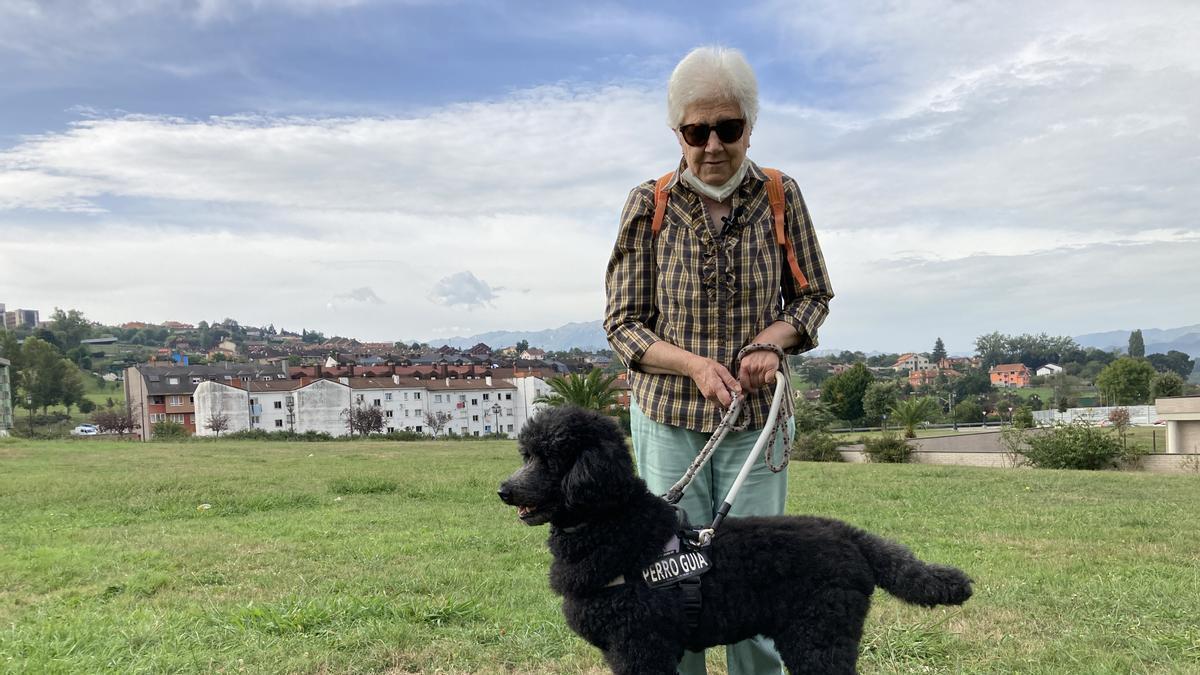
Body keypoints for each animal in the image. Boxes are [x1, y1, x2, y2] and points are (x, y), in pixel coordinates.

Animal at [496, 403, 974, 672]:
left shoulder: (640, 646)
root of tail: (852, 536)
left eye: (552, 458)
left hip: (819, 637)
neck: (616, 525)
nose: (504, 490)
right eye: (526, 454)